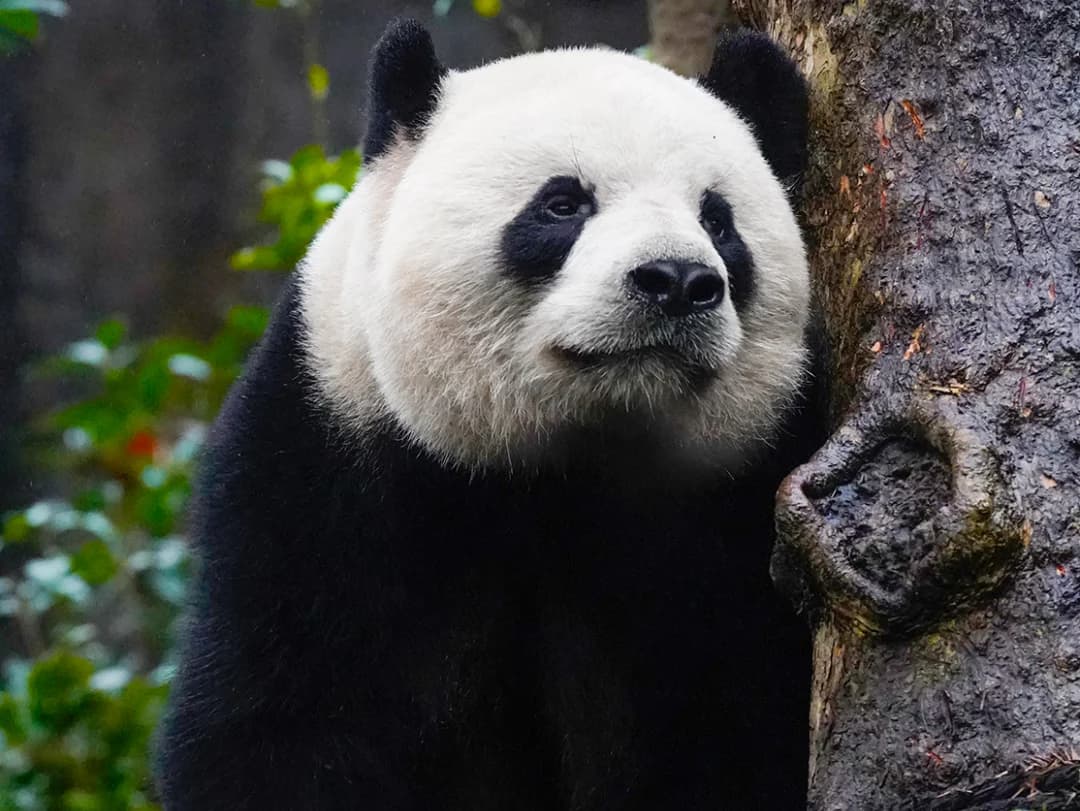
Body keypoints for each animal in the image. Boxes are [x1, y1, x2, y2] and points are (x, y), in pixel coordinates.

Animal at [157, 18, 822, 810]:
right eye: (563, 204)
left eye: (718, 221)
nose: (678, 281)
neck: (567, 461)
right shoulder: (327, 463)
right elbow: (284, 716)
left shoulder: (737, 502)